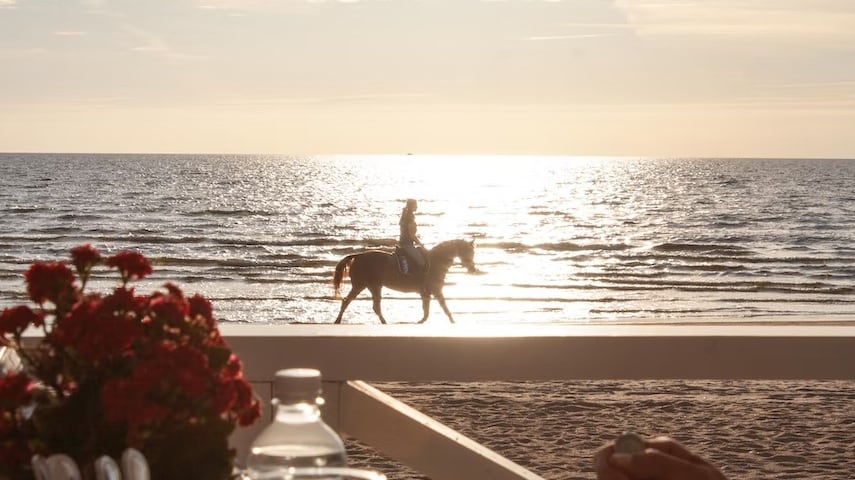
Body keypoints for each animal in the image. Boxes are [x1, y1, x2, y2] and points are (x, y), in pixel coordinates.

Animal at [333, 239, 477, 324]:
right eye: (469, 252)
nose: (473, 269)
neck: (436, 261)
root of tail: (358, 256)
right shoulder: (436, 290)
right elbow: (443, 307)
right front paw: (453, 322)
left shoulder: (427, 293)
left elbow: (427, 309)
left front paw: (422, 321)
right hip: (364, 285)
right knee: (350, 302)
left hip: (370, 286)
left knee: (363, 304)